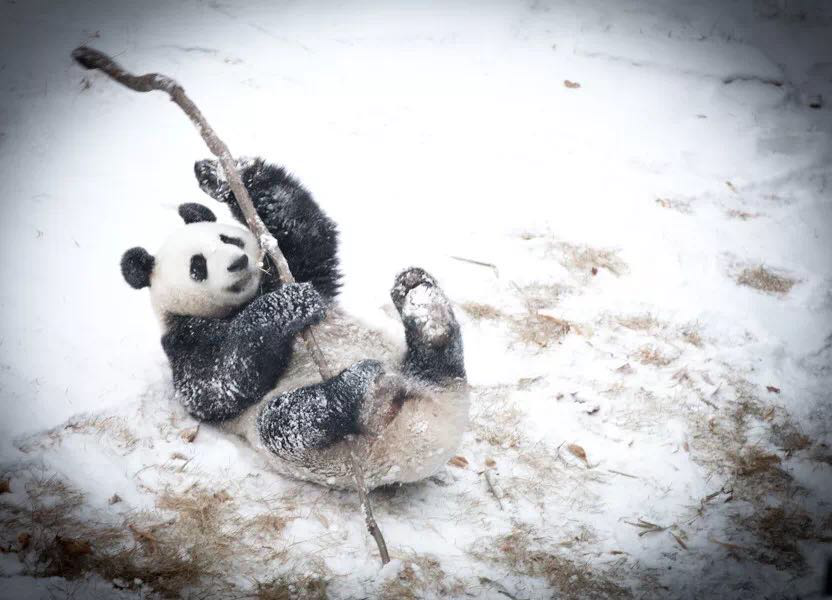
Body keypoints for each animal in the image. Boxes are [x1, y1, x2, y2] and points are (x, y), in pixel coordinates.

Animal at [119, 158, 468, 488]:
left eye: (229, 238)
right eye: (198, 266)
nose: (238, 262)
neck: (243, 301)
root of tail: (434, 422)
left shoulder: (294, 269)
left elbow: (305, 230)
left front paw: (218, 172)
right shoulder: (182, 340)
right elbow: (217, 386)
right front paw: (286, 306)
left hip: (419, 373)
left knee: (438, 362)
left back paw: (421, 301)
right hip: (307, 446)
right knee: (286, 423)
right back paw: (354, 387)